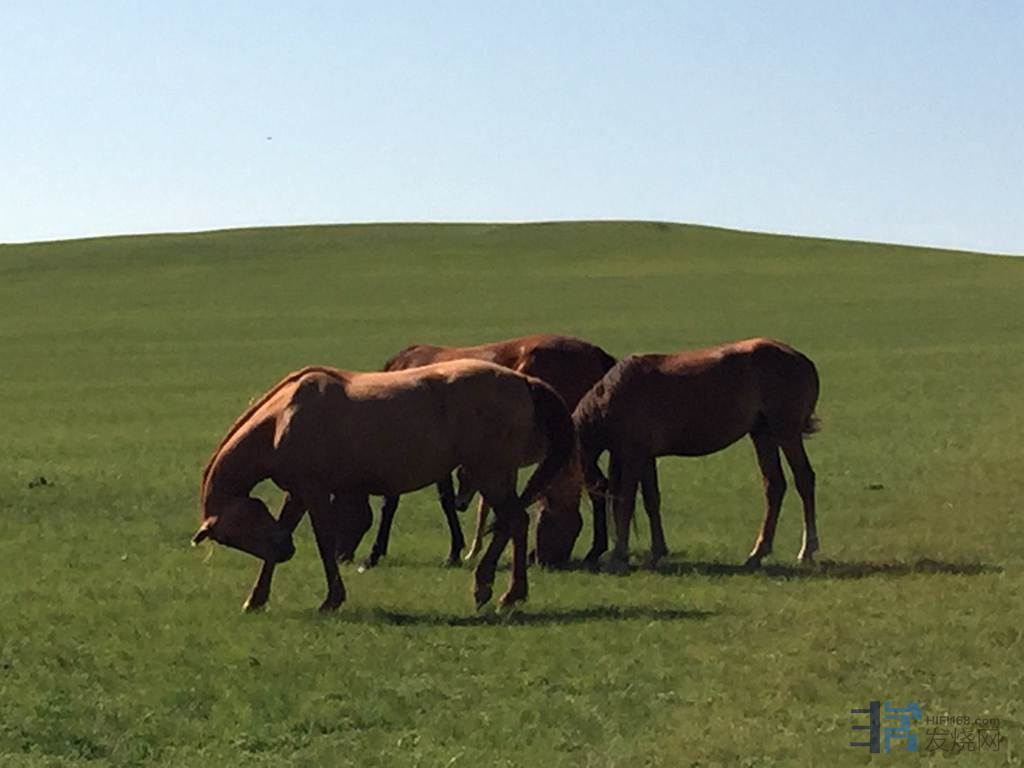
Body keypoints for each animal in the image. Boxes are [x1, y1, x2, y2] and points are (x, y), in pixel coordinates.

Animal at [191, 360, 575, 612]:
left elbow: (325, 541)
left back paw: (493, 589)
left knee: (514, 520)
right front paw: (256, 598)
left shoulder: (314, 492)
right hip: (499, 475)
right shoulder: (298, 494)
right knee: (513, 523)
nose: (286, 550)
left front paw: (332, 599)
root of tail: (522, 380)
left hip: (490, 473)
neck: (283, 418)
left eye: (234, 534)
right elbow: (291, 531)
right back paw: (506, 591)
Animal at [347, 333, 636, 569]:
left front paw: (376, 553)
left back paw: (593, 549)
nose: (342, 555)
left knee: (597, 486)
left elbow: (402, 502)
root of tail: (597, 353)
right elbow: (445, 500)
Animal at [573, 338, 820, 569]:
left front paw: (618, 555)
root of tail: (801, 359)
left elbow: (625, 501)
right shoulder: (645, 458)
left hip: (786, 433)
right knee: (774, 486)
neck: (614, 396)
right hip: (763, 434)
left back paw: (807, 550)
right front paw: (657, 551)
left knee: (804, 479)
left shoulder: (634, 457)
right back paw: (757, 553)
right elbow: (651, 501)